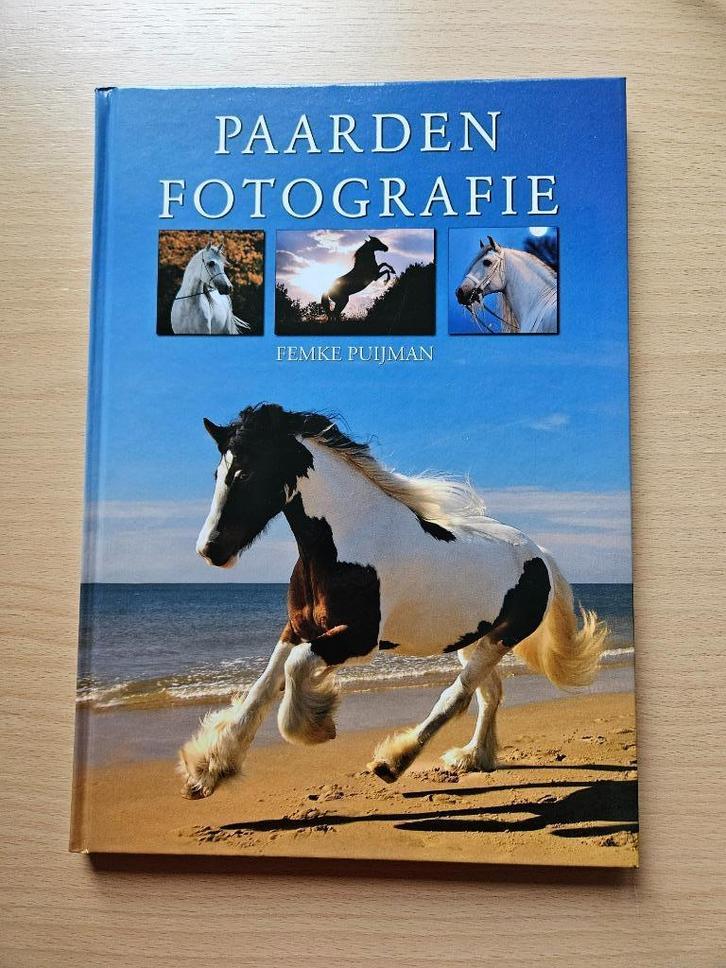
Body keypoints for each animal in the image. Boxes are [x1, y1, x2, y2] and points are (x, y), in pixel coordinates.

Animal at [178, 403, 607, 799]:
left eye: (245, 473)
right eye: (217, 474)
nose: (210, 550)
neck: (348, 540)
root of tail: (540, 554)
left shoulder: (359, 639)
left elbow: (296, 669)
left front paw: (317, 725)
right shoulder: (298, 629)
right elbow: (262, 689)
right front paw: (207, 769)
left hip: (501, 639)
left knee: (457, 696)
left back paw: (393, 761)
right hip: (473, 640)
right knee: (489, 694)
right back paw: (473, 757)